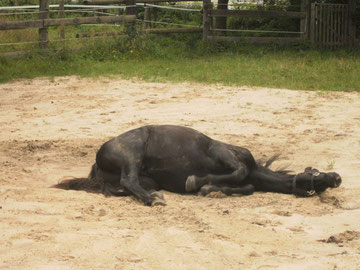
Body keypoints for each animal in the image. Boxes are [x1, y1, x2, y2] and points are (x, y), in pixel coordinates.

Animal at [54, 125, 344, 206]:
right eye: (315, 172)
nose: (337, 177)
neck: (257, 170)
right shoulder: (223, 152)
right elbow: (237, 171)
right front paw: (197, 183)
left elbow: (247, 186)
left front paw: (213, 190)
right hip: (131, 154)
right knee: (129, 180)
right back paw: (153, 199)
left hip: (142, 177)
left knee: (125, 186)